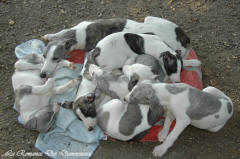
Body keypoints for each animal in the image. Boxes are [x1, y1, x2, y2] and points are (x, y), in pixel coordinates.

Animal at [40, 16, 191, 78]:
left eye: (56, 58)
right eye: (44, 56)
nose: (42, 75)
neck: (80, 33)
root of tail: (184, 36)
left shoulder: (91, 49)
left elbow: (86, 63)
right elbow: (59, 32)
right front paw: (49, 35)